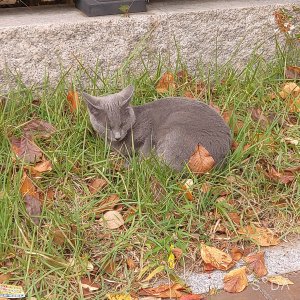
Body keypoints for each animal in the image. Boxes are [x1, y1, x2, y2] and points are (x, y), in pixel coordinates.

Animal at [82, 84, 232, 171]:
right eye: (107, 126)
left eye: (123, 123)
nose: (118, 136)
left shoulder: (147, 133)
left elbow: (143, 151)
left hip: (176, 135)